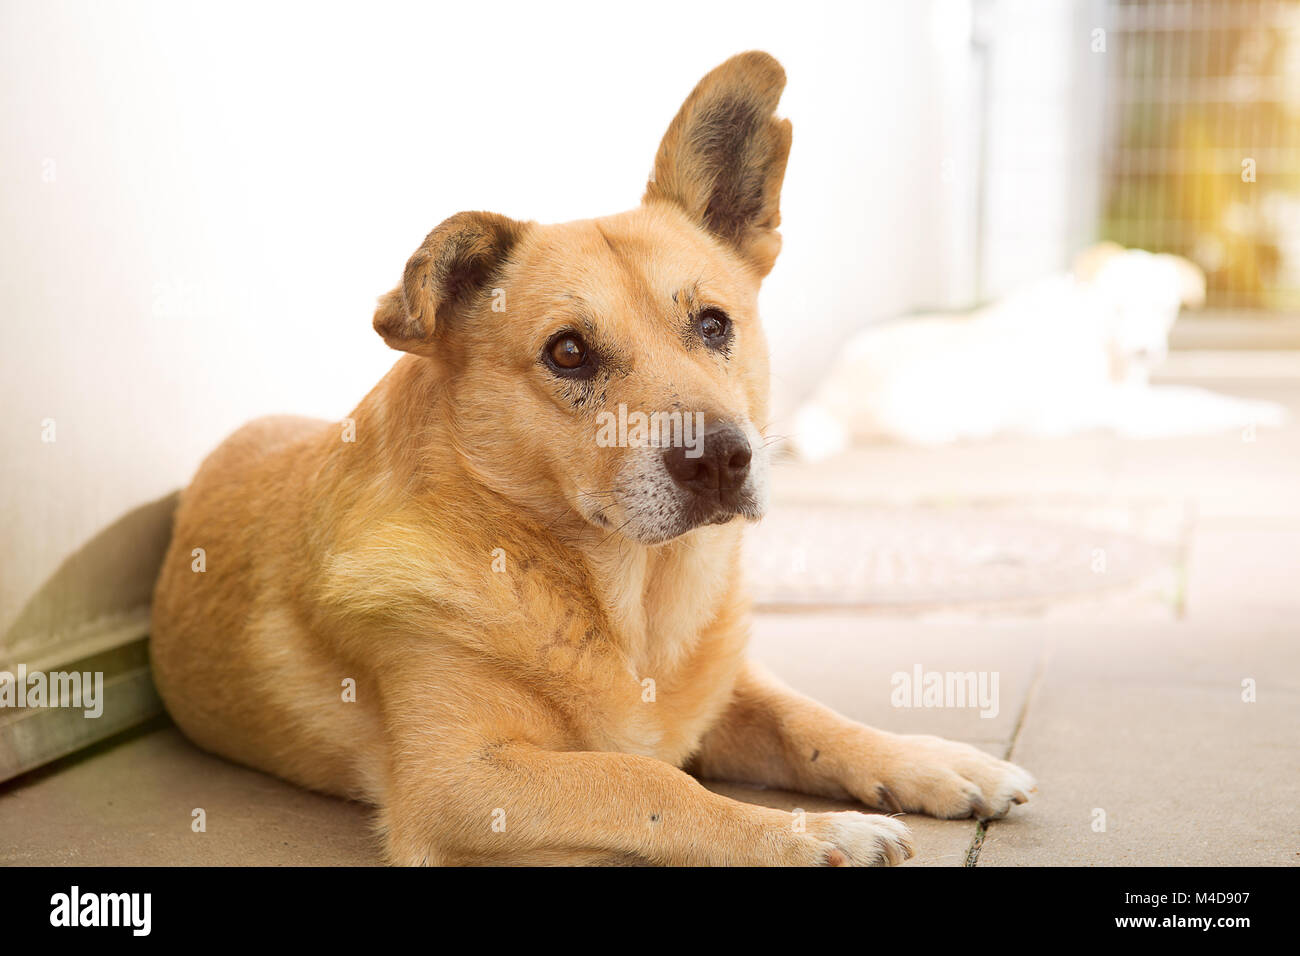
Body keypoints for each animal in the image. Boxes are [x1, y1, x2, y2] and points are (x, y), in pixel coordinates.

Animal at [147, 52, 1029, 868]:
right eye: (568, 352)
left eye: (713, 324)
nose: (721, 460)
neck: (626, 600)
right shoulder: (457, 781)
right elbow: (650, 781)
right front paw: (808, 835)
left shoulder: (722, 689)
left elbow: (806, 718)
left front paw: (931, 761)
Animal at [795, 244, 1284, 457]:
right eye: (1120, 307)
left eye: (1166, 308)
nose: (1146, 351)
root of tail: (829, 390)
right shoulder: (1125, 411)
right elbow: (1205, 400)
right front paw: (1262, 414)